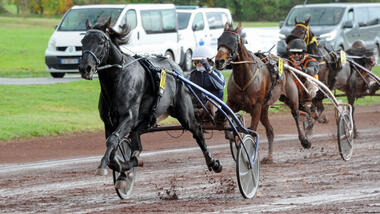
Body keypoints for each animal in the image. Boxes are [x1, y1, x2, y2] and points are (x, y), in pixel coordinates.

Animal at [79, 18, 223, 187]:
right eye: (83, 41)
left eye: (101, 42)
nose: (85, 68)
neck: (118, 79)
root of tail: (176, 67)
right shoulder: (109, 122)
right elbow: (113, 148)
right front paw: (124, 169)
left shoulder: (129, 118)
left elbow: (113, 141)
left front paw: (104, 166)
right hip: (144, 121)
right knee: (137, 143)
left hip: (183, 112)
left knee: (197, 130)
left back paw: (213, 162)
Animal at [215, 23, 310, 163]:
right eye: (219, 39)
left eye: (233, 41)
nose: (219, 61)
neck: (244, 79)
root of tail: (286, 63)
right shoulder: (233, 102)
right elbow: (224, 114)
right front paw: (231, 134)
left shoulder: (256, 107)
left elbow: (252, 130)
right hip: (264, 109)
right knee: (270, 130)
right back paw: (269, 157)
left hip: (290, 98)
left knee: (296, 114)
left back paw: (304, 140)